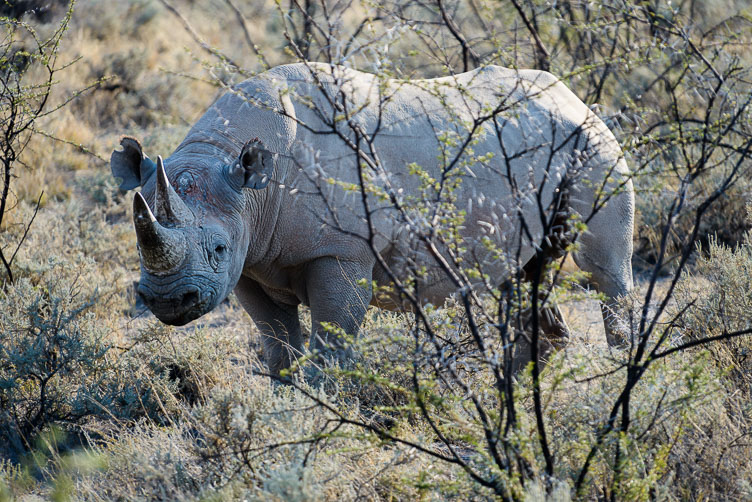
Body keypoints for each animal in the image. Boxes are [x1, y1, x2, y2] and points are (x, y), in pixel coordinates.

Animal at [112, 63, 634, 376]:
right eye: (136, 246)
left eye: (217, 249)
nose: (169, 301)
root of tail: (573, 95)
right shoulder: (251, 261)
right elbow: (278, 348)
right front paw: (287, 405)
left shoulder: (339, 252)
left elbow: (330, 346)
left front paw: (322, 417)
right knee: (524, 273)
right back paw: (520, 386)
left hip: (593, 143)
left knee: (602, 268)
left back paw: (622, 371)